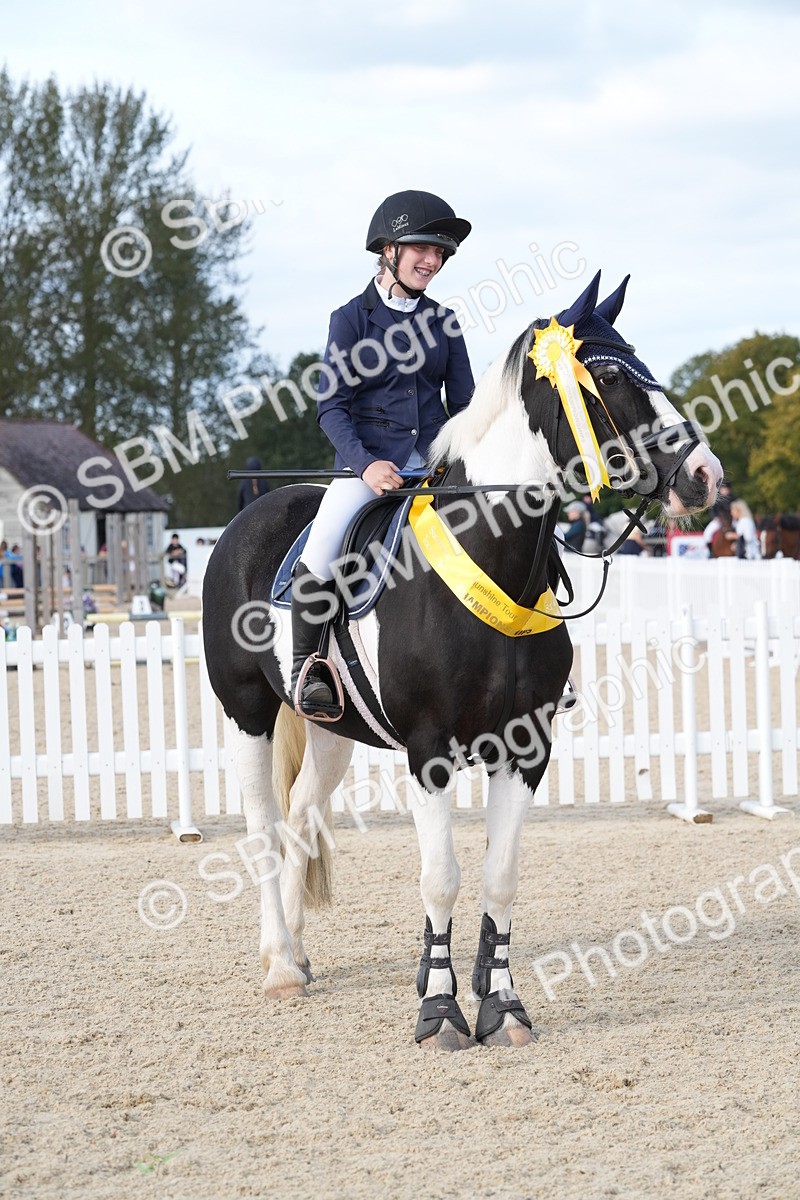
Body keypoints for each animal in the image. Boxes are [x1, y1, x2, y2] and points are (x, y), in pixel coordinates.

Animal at [202, 271, 723, 1051]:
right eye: (605, 377)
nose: (702, 475)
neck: (490, 551)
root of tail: (250, 516)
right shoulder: (430, 750)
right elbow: (441, 877)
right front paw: (439, 1011)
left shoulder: (526, 746)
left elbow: (499, 876)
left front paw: (501, 1007)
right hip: (248, 714)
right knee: (264, 828)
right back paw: (280, 967)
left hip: (330, 731)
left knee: (300, 817)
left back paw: (296, 949)